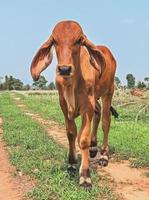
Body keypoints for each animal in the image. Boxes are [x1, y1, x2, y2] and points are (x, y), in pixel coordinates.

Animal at [30, 20, 116, 189]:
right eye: (55, 41)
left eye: (79, 40)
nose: (64, 69)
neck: (72, 83)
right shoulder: (63, 104)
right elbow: (71, 133)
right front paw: (71, 164)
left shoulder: (87, 106)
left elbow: (83, 139)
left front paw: (85, 176)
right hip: (96, 98)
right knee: (98, 114)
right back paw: (94, 148)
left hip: (108, 92)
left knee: (105, 121)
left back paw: (103, 155)